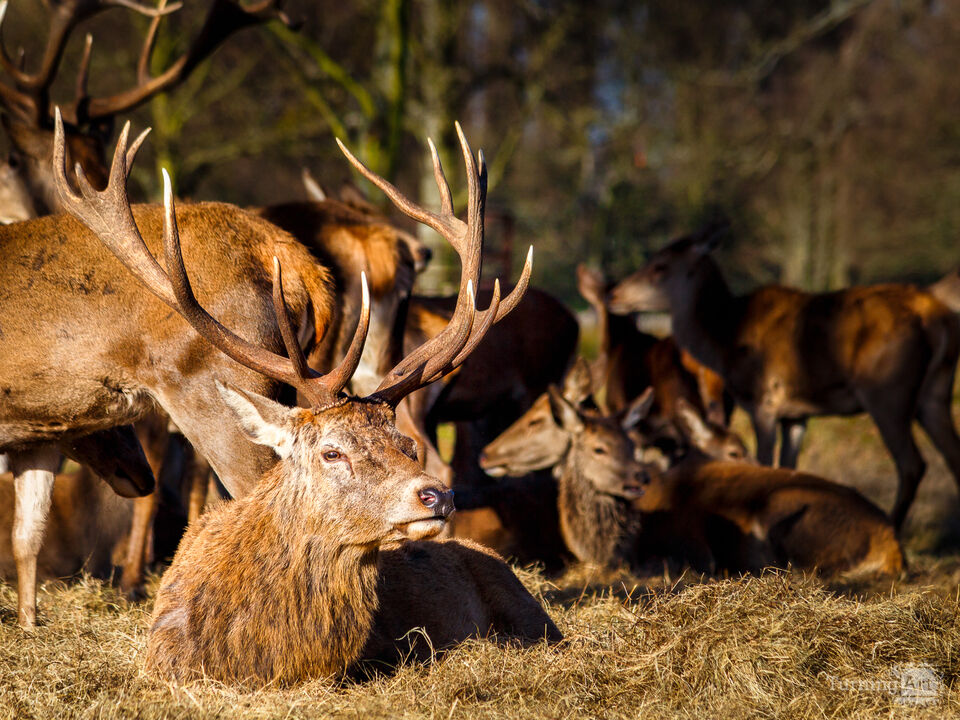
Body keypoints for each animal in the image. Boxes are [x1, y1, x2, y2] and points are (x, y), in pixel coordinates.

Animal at [607, 222, 960, 532]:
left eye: (660, 266)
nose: (614, 294)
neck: (723, 343)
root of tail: (937, 315)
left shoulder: (763, 400)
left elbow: (766, 459)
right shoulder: (796, 414)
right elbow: (790, 466)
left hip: (888, 392)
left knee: (912, 464)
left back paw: (894, 527)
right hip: (935, 392)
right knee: (952, 455)